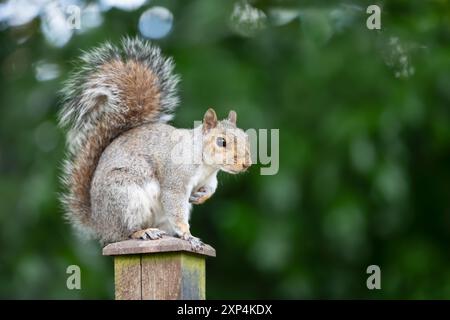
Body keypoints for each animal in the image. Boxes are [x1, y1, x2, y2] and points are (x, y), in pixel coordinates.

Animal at [57, 37, 250, 248]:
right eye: (221, 142)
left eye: (246, 138)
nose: (246, 164)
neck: (206, 165)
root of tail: (100, 223)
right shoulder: (175, 179)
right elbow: (175, 205)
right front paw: (187, 234)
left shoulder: (209, 179)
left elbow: (210, 189)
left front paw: (200, 197)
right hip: (126, 199)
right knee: (124, 233)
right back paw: (144, 232)